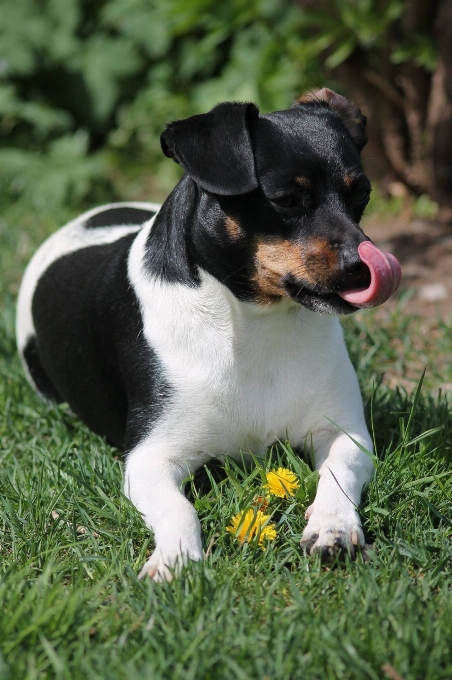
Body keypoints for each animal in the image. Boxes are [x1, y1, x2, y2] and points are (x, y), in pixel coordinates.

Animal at [15, 87, 400, 580]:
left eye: (362, 195)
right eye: (286, 201)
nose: (363, 264)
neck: (256, 321)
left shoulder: (343, 433)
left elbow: (339, 474)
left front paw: (333, 526)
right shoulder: (149, 458)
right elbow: (179, 509)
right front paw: (176, 558)